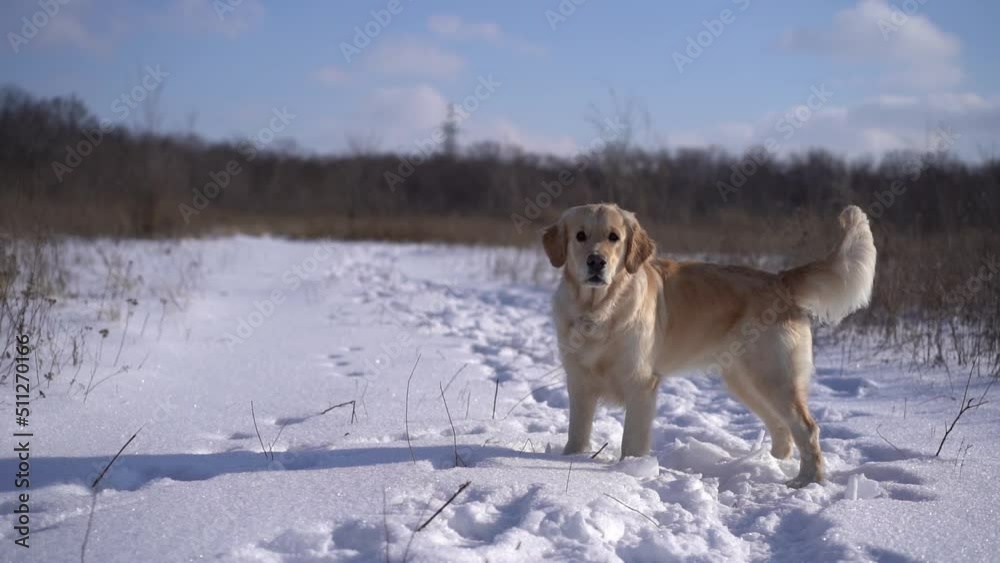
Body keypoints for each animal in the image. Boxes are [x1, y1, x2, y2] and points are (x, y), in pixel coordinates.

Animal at [544, 204, 880, 490]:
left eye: (614, 237)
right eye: (580, 236)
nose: (596, 262)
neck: (598, 309)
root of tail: (780, 279)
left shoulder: (640, 385)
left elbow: (632, 442)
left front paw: (627, 472)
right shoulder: (578, 383)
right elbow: (577, 434)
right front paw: (572, 460)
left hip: (773, 377)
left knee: (807, 428)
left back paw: (806, 481)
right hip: (745, 381)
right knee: (781, 427)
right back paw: (765, 464)